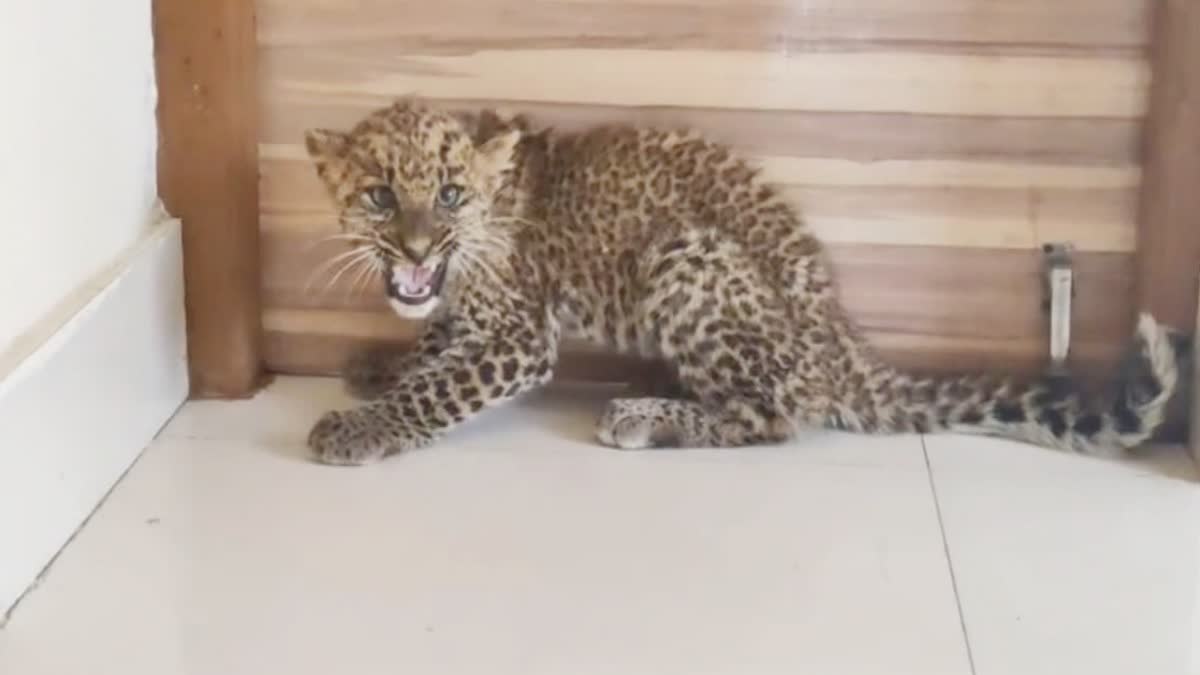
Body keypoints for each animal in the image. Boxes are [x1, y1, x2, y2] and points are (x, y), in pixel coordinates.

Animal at [302, 98, 1181, 466]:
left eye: (450, 194)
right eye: (379, 196)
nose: (418, 244)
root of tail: (844, 342)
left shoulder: (519, 335)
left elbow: (441, 387)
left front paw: (360, 426)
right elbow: (433, 344)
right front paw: (379, 365)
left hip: (686, 258)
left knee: (780, 415)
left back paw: (645, 415)